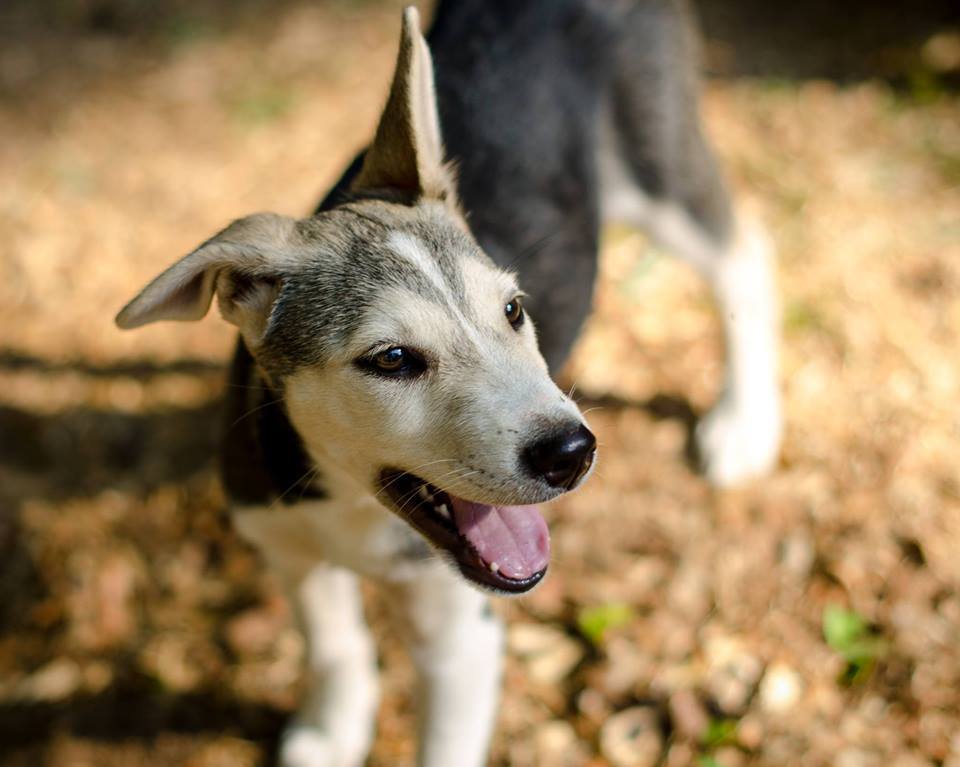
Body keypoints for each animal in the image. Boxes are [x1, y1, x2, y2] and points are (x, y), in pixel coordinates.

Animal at [118, 3, 780, 764]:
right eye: (392, 359)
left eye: (514, 311)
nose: (573, 453)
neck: (349, 500)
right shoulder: (287, 548)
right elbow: (333, 647)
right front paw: (332, 731)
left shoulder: (461, 636)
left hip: (659, 161)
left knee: (744, 256)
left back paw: (746, 422)